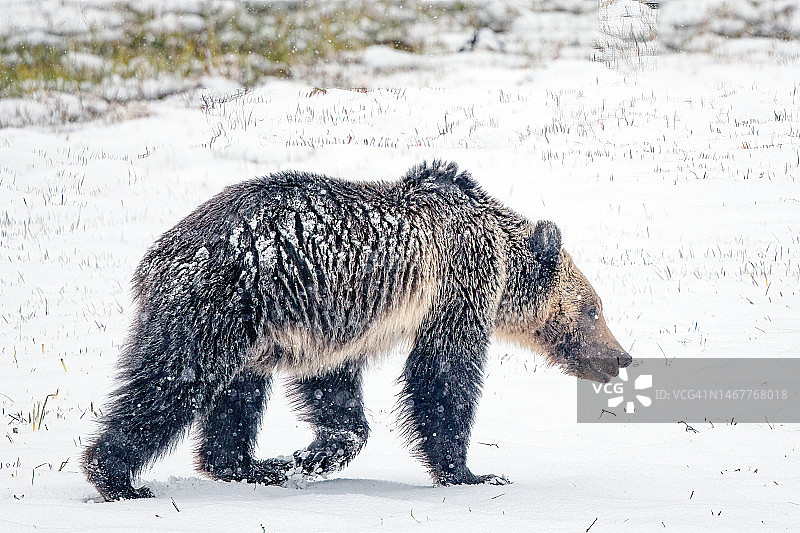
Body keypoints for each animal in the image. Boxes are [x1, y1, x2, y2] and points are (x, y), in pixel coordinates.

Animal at [82, 160, 631, 501]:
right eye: (593, 310)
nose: (621, 357)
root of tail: (157, 257)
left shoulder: (328, 321)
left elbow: (334, 392)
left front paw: (307, 454)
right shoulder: (455, 289)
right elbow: (442, 378)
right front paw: (473, 472)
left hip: (253, 328)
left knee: (237, 394)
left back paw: (249, 465)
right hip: (221, 302)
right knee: (172, 383)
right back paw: (117, 477)